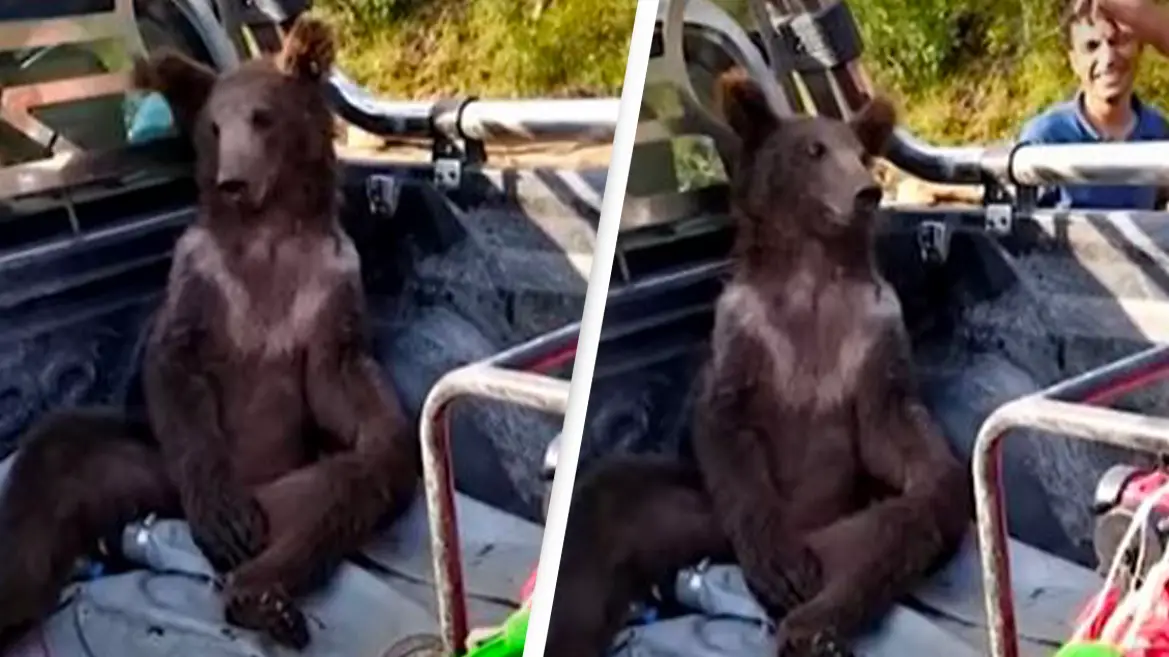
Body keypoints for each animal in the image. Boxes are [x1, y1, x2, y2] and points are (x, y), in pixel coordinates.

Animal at [0, 15, 418, 651]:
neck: (267, 234)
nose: (232, 182)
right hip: (150, 469)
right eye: (214, 126)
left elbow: (341, 380)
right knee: (55, 462)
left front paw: (375, 417)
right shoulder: (201, 277)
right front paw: (225, 517)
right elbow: (175, 365)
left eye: (263, 117)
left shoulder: (329, 281)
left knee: (349, 490)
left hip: (299, 485)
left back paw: (261, 593)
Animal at [545, 67, 971, 657]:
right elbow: (725, 424)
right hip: (699, 516)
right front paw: (779, 562)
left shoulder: (872, 332)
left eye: (861, 151)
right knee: (603, 513)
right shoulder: (746, 333)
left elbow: (894, 428)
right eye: (813, 149)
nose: (866, 191)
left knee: (898, 531)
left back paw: (812, 621)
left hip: (856, 522)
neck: (812, 274)